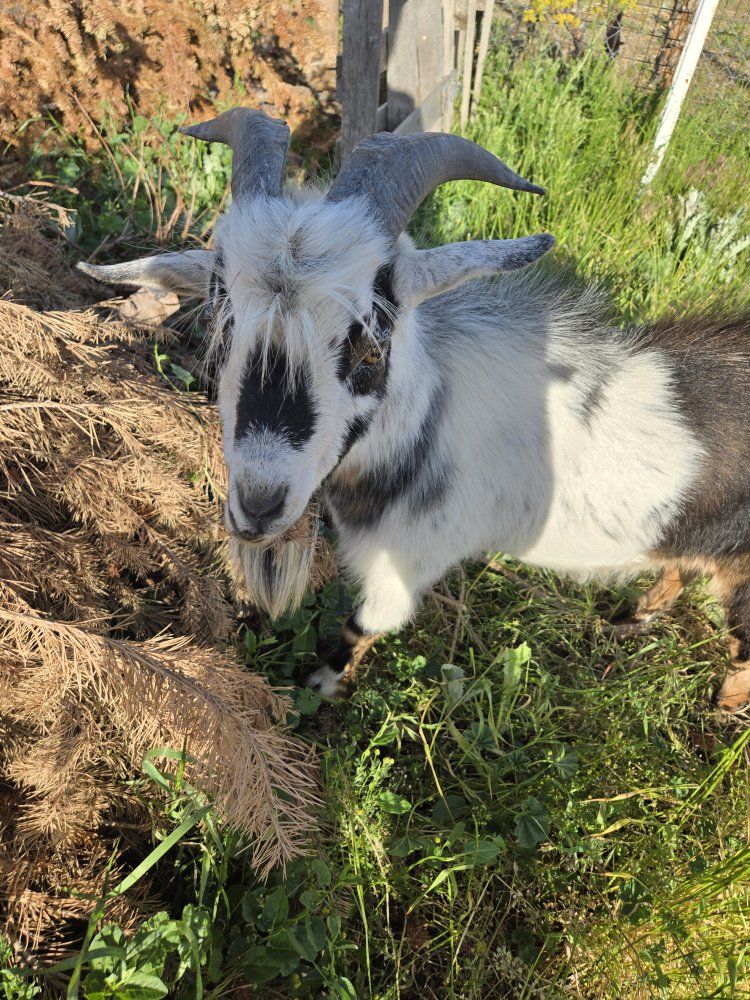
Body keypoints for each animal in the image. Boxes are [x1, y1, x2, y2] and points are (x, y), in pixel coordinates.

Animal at [80, 108, 750, 711]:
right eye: (222, 335)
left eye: (372, 348)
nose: (258, 506)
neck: (434, 418)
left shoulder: (407, 563)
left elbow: (362, 626)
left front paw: (320, 686)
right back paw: (631, 618)